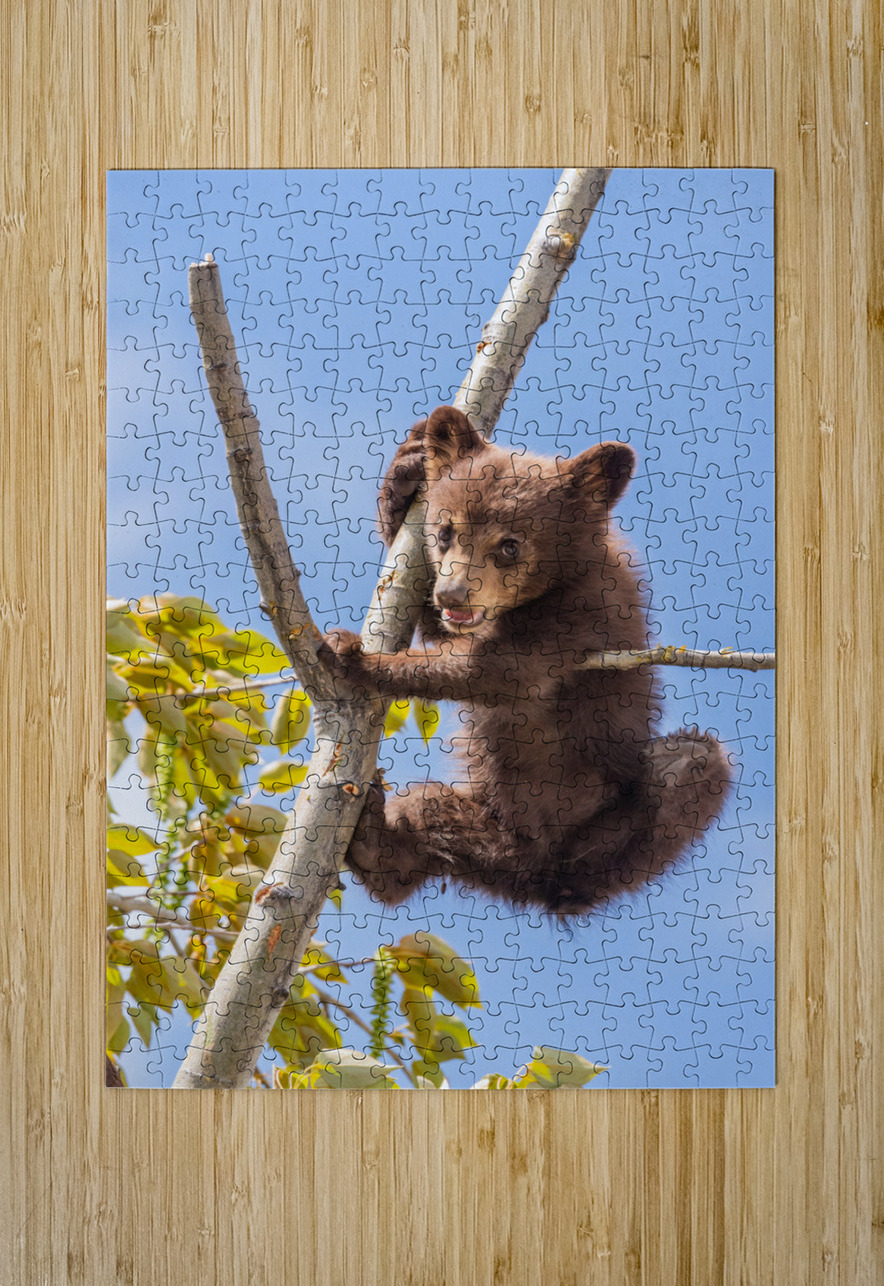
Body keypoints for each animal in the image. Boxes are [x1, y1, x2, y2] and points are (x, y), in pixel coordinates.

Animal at [320, 405, 732, 918]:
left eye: (510, 544)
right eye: (444, 532)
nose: (452, 594)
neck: (558, 578)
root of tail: (534, 879)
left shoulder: (584, 612)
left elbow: (500, 670)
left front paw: (354, 656)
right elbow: (446, 637)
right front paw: (405, 471)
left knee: (695, 761)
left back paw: (580, 869)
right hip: (486, 816)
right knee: (429, 814)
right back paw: (378, 845)